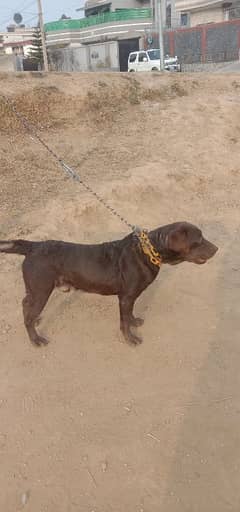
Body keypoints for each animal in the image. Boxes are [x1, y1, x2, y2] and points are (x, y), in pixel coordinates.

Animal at [0, 222, 218, 346]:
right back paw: (35, 339)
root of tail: (33, 246)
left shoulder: (130, 297)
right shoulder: (126, 297)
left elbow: (129, 315)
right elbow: (123, 322)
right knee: (28, 309)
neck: (147, 251)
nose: (217, 248)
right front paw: (131, 339)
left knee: (26, 306)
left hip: (35, 289)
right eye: (199, 240)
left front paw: (134, 322)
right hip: (41, 289)